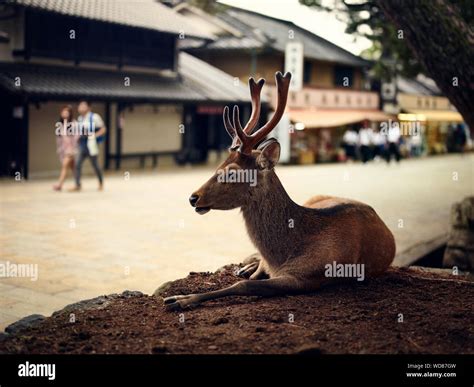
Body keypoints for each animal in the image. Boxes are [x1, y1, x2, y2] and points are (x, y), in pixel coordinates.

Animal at [163, 71, 396, 310]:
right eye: (219, 164)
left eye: (232, 172)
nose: (193, 197)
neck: (283, 254)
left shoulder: (307, 276)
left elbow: (245, 285)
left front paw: (180, 299)